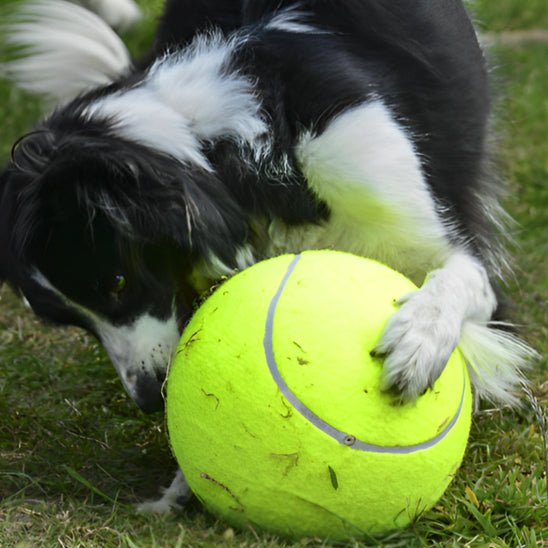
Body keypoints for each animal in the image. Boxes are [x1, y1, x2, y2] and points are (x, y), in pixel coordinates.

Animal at [0, 0, 536, 512]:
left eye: (117, 282)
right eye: (77, 324)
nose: (150, 399)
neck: (227, 146)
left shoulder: (441, 240)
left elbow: (455, 281)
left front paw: (417, 344)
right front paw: (182, 486)